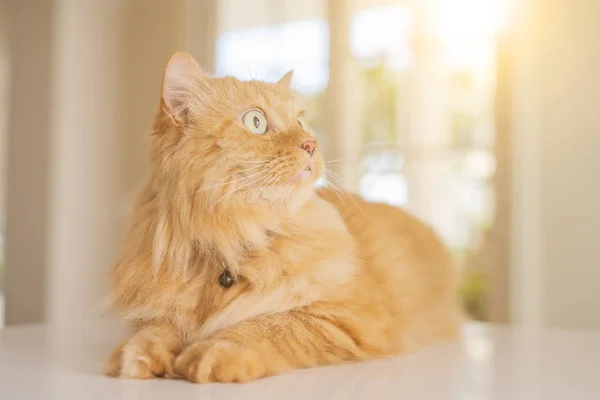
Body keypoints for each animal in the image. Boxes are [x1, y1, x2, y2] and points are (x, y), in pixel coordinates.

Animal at [104, 51, 460, 382]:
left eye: (300, 123)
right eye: (256, 122)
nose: (312, 144)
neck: (232, 240)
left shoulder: (341, 317)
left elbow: (266, 326)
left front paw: (211, 353)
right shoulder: (156, 310)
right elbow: (154, 330)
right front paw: (134, 356)